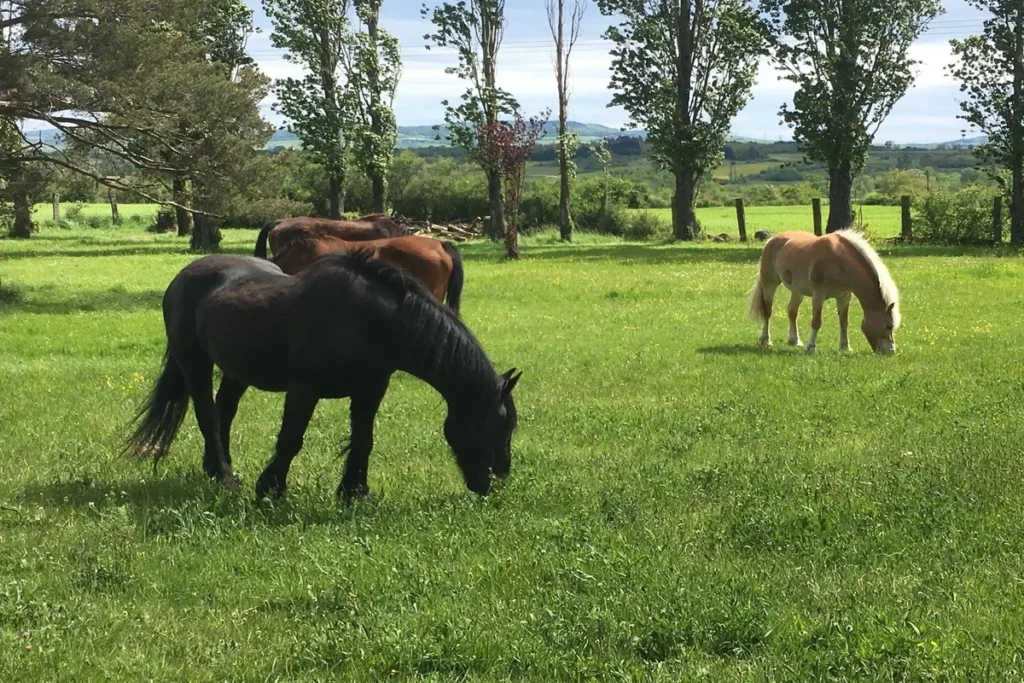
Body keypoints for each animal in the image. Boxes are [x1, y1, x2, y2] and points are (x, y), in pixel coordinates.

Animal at [124, 250, 520, 500]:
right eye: (495, 426)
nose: (496, 483)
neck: (373, 321)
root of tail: (184, 276)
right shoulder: (305, 388)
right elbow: (291, 439)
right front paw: (271, 489)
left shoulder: (370, 390)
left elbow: (363, 440)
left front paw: (355, 493)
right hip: (194, 362)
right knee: (207, 414)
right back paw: (224, 477)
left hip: (238, 369)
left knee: (224, 413)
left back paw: (218, 471)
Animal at [747, 230, 901, 354]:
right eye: (888, 326)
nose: (891, 351)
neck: (840, 262)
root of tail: (772, 239)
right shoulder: (818, 295)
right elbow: (816, 321)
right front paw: (811, 347)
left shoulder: (844, 297)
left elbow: (844, 322)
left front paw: (845, 347)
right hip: (770, 284)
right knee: (767, 311)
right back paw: (766, 340)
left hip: (797, 291)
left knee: (792, 311)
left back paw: (794, 340)